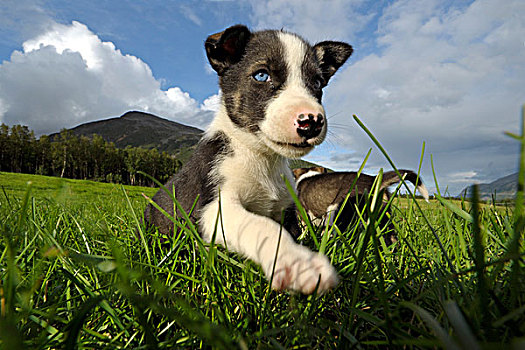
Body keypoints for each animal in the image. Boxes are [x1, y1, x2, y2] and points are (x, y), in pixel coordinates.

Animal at [144, 23, 352, 292]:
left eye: (317, 82)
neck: (261, 156)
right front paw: (298, 263)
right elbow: (262, 227)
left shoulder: (286, 209)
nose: (312, 122)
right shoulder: (216, 207)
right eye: (262, 76)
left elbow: (292, 231)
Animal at [292, 167, 428, 243]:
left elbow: (304, 229)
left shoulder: (302, 214)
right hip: (383, 218)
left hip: (337, 214)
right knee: (392, 239)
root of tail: (375, 180)